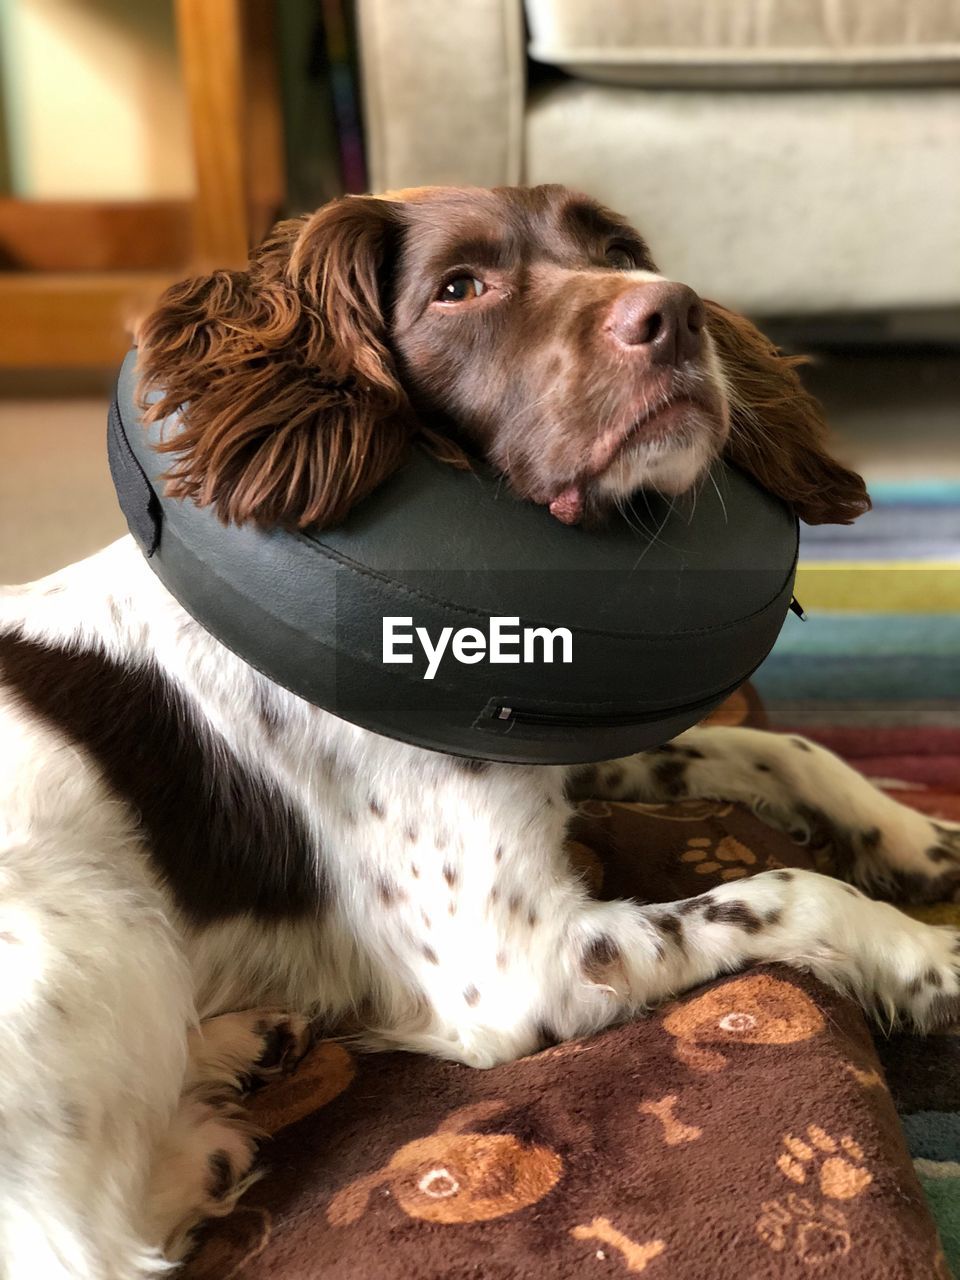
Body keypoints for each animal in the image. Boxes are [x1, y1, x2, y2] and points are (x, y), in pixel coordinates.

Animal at [1, 185, 960, 1274]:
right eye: (460, 288)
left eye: (618, 249)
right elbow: (787, 890)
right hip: (89, 929)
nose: (676, 312)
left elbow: (782, 747)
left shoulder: (551, 760)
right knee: (90, 1246)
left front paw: (910, 835)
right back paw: (206, 1147)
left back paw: (243, 1046)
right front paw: (926, 958)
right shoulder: (516, 964)